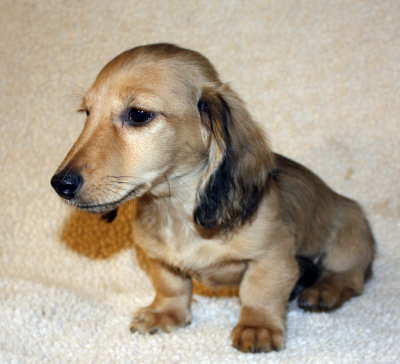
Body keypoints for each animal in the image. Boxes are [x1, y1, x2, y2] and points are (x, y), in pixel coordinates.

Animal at [50, 43, 376, 352]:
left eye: (138, 114)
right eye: (87, 113)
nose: (60, 184)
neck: (178, 212)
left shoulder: (272, 256)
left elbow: (259, 292)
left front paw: (258, 327)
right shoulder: (158, 258)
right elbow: (171, 286)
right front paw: (165, 314)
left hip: (349, 236)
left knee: (351, 276)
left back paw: (324, 290)